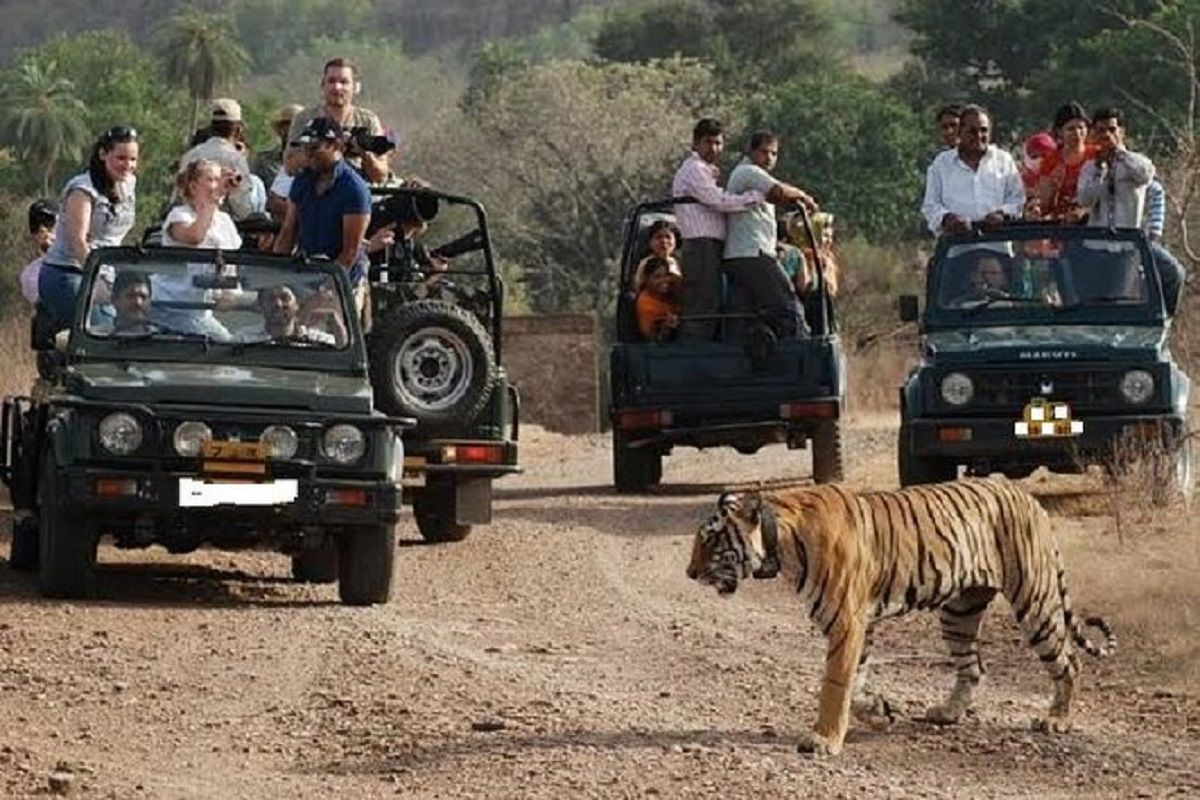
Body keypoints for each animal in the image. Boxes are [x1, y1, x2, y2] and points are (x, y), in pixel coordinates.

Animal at [686, 474, 1113, 758]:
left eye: (711, 540)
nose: (690, 573)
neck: (782, 542)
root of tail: (1027, 496)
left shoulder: (847, 621)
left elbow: (835, 684)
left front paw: (823, 739)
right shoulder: (859, 624)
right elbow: (855, 682)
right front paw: (879, 714)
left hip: (1034, 599)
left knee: (1068, 661)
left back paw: (1057, 720)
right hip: (959, 611)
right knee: (973, 667)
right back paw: (947, 713)